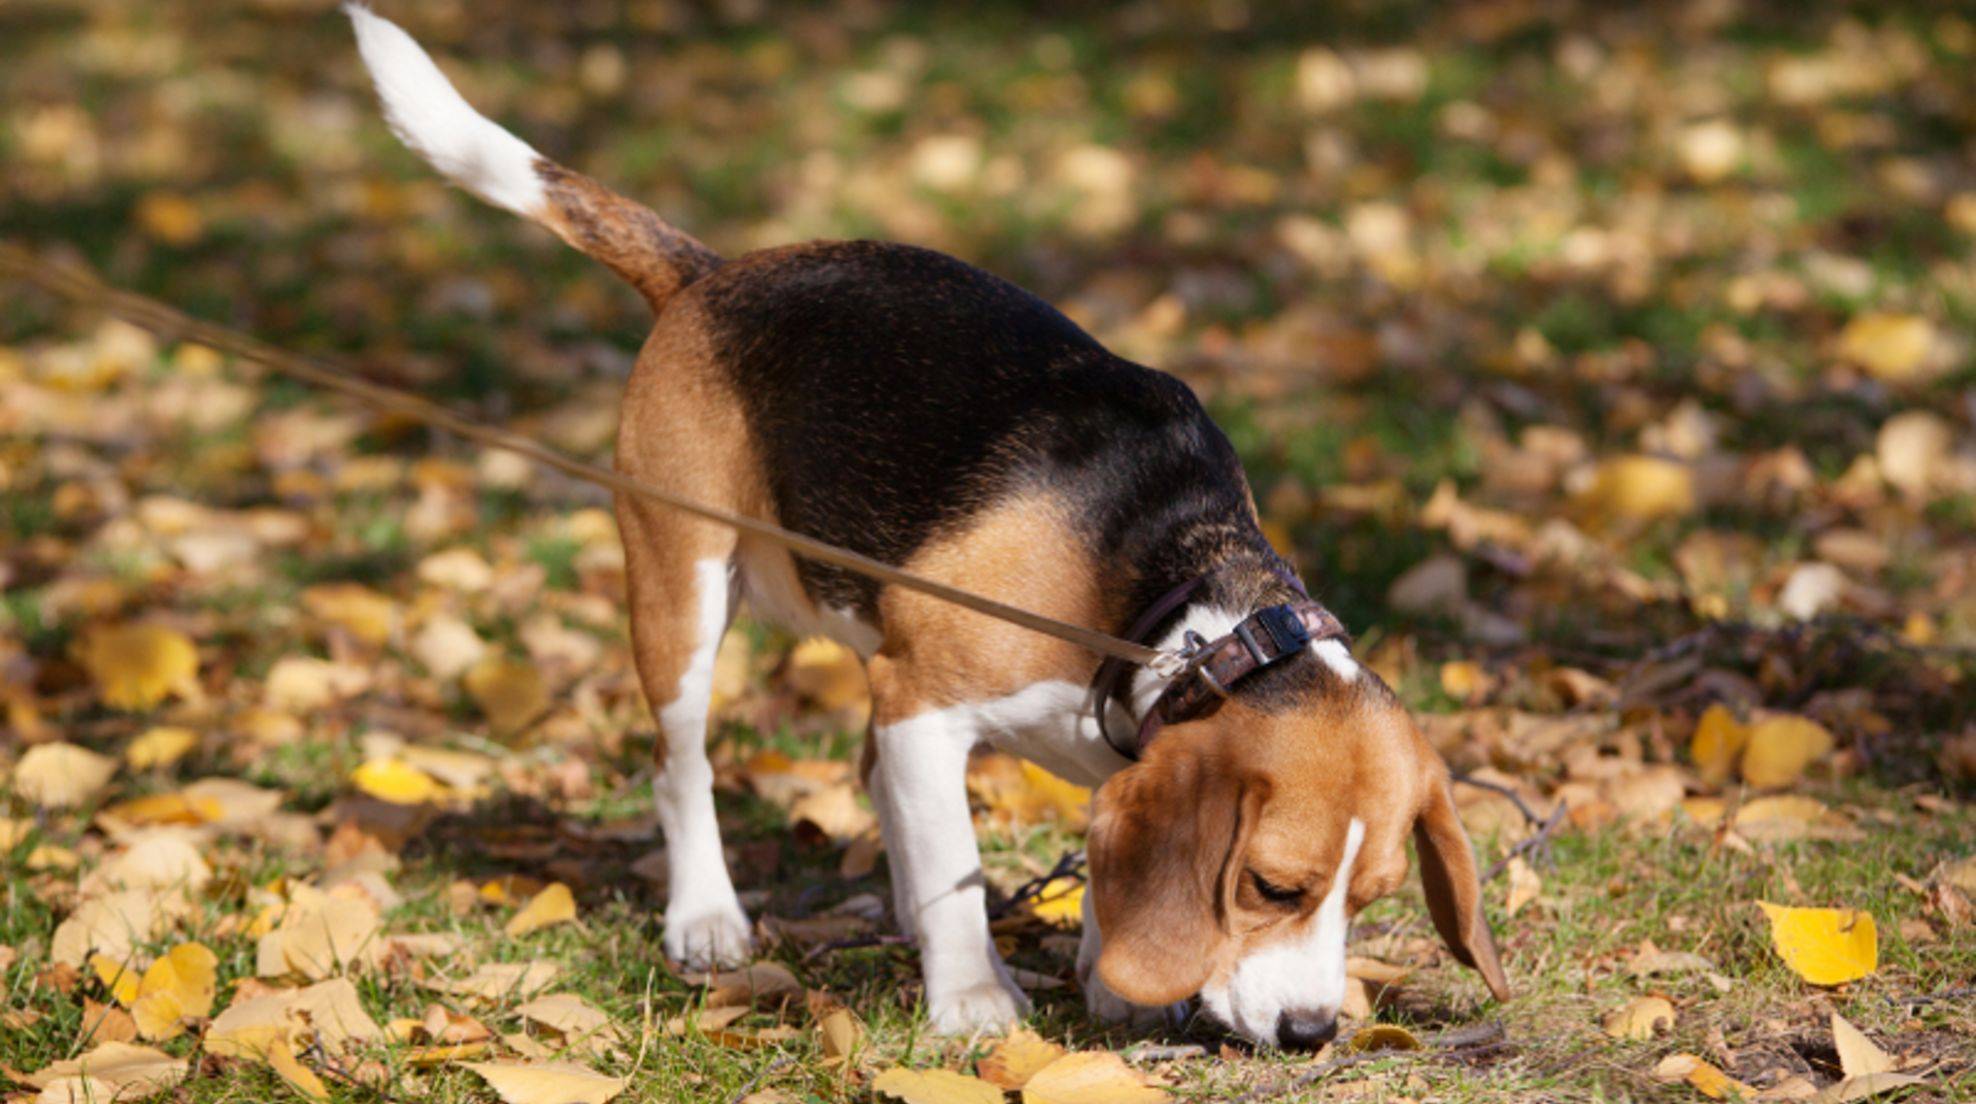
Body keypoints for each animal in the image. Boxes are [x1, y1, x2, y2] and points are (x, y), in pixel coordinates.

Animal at [347, 4, 1501, 1050]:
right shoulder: (925, 702)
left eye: (1370, 899)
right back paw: (709, 917)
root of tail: (713, 275)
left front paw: (1111, 981)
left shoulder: (1061, 745)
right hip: (680, 591)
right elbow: (954, 867)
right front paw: (975, 1002)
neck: (1169, 600)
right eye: (1270, 887)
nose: (1310, 1032)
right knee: (685, 770)